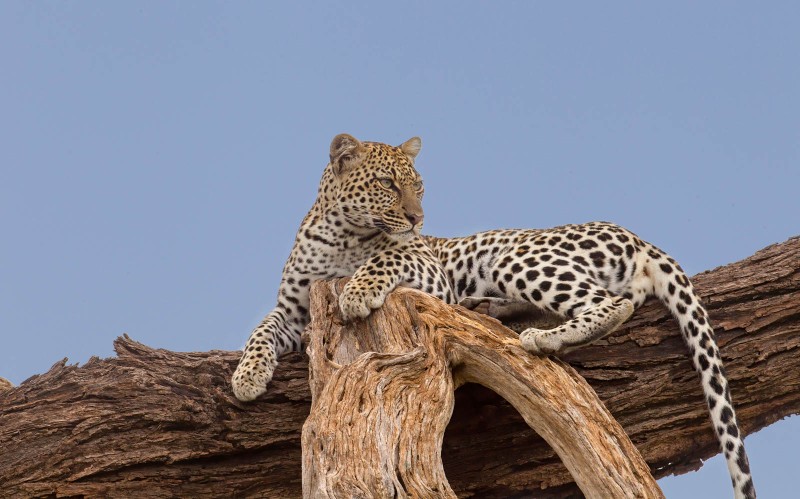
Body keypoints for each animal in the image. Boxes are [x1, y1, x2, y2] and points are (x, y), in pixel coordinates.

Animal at [231, 134, 455, 403]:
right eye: (386, 183)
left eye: (418, 185)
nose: (418, 218)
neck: (343, 237)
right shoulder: (292, 312)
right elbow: (262, 329)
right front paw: (247, 374)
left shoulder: (437, 279)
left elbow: (390, 255)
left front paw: (356, 295)